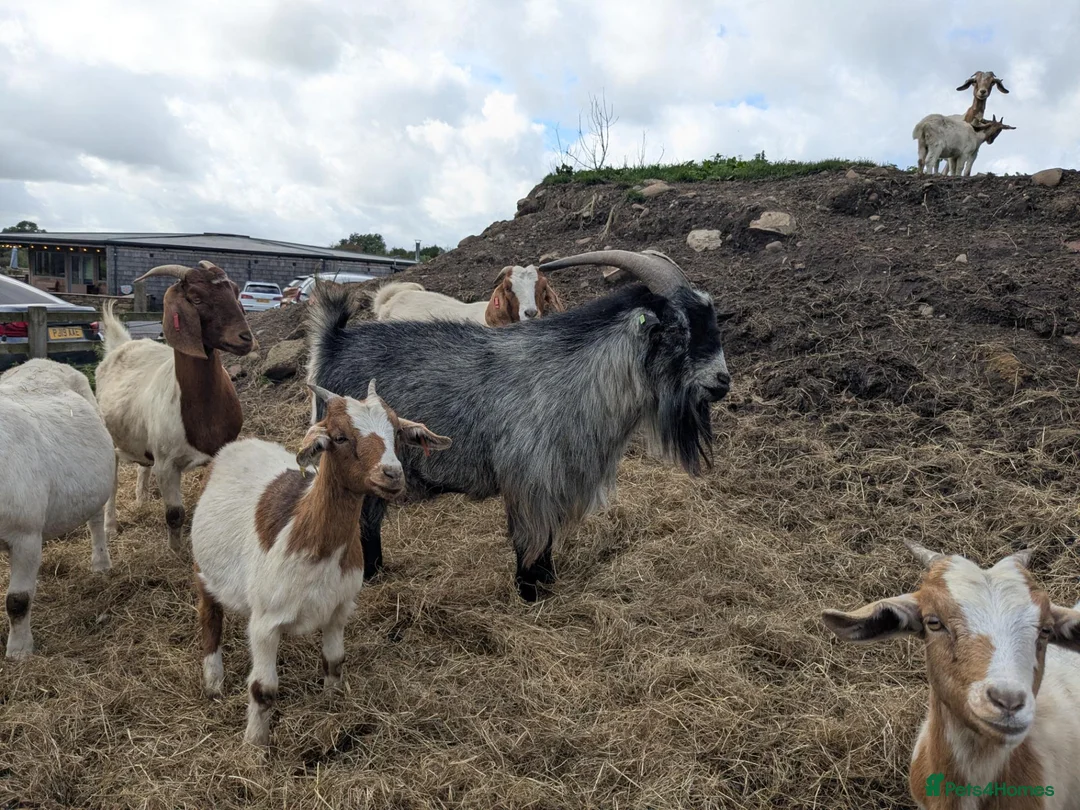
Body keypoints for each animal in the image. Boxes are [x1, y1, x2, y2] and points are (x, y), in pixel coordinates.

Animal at [0, 359, 116, 659]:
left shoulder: (25, 535)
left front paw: (19, 651)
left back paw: (101, 563)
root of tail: (45, 361)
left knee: (96, 521)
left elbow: (17, 601)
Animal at [95, 261, 254, 552]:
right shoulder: (167, 465)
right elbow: (175, 514)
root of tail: (121, 345)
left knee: (143, 465)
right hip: (110, 438)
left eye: (236, 291)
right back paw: (110, 526)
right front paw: (176, 552)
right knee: (111, 482)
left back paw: (141, 501)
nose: (245, 338)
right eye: (196, 298)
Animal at [190, 381, 450, 745]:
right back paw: (213, 682)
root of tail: (238, 445)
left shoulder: (339, 608)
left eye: (397, 431)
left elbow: (334, 661)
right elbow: (262, 688)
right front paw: (255, 745)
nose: (392, 474)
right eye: (339, 437)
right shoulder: (264, 622)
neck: (316, 544)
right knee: (209, 615)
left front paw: (332, 706)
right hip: (202, 570)